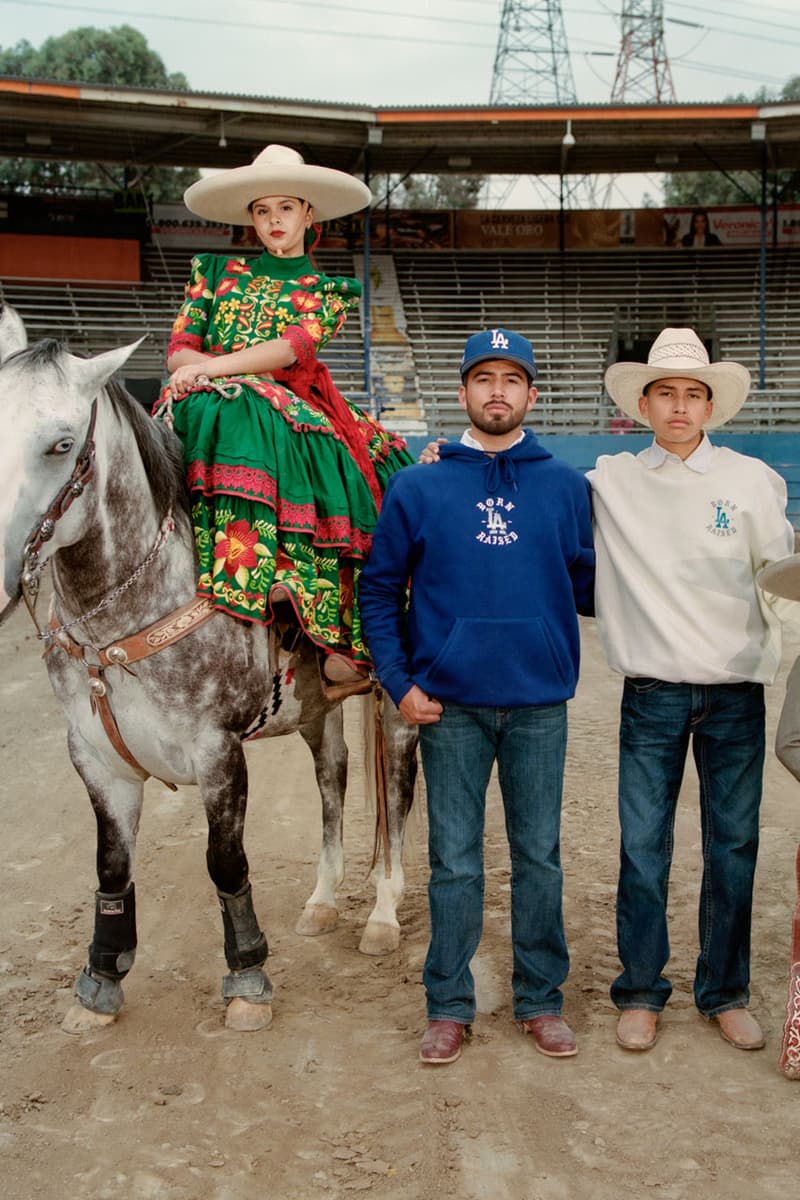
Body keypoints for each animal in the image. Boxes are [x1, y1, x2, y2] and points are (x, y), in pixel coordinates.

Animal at [0, 307, 422, 1032]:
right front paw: (99, 982)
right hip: (316, 704)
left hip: (397, 701)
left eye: (61, 445)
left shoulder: (218, 752)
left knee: (395, 791)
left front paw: (248, 976)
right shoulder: (94, 756)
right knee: (333, 779)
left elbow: (225, 864)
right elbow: (111, 870)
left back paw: (384, 914)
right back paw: (323, 900)